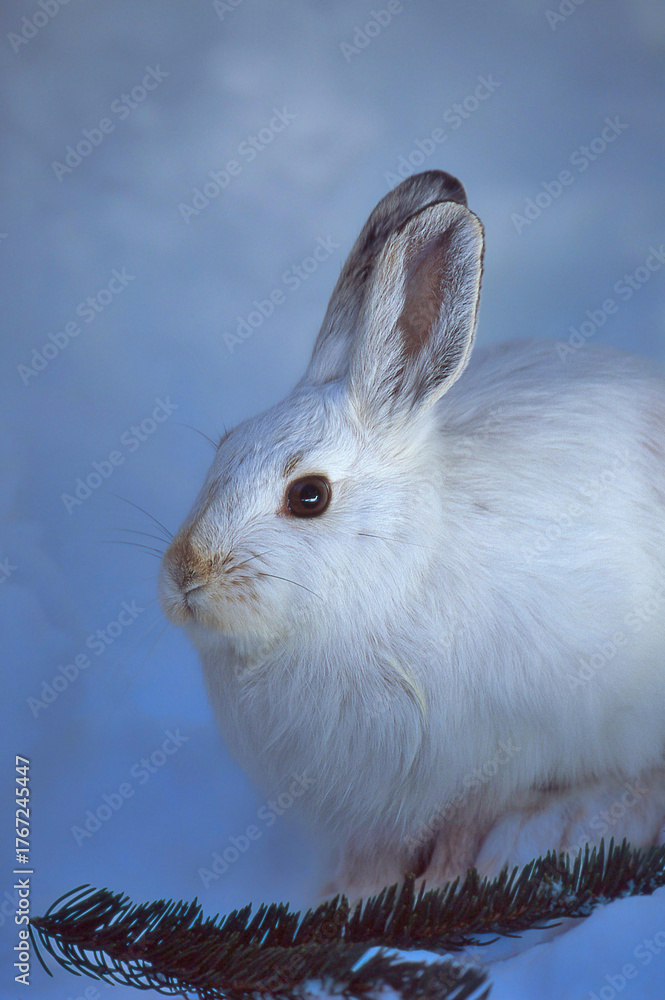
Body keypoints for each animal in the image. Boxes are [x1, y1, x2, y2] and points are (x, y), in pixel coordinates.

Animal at [159, 170, 665, 901]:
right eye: (222, 448)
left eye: (308, 497)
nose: (183, 574)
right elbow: (376, 850)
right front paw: (348, 897)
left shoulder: (497, 758)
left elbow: (466, 823)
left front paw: (441, 884)